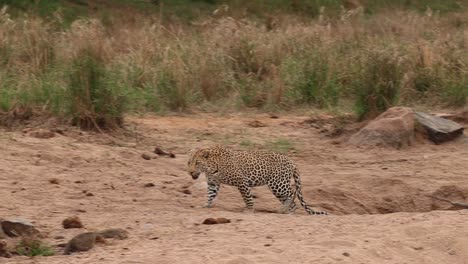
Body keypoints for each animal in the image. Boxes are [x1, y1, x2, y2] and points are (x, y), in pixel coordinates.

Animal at [186, 145, 326, 216]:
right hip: (278, 187)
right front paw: (205, 205)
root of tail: (292, 161)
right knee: (291, 200)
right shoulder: (213, 183)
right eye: (189, 162)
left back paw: (285, 211)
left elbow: (247, 197)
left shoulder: (241, 181)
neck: (210, 167)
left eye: (197, 163)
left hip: (277, 184)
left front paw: (249, 209)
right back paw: (286, 210)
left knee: (293, 194)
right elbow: (210, 195)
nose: (190, 172)